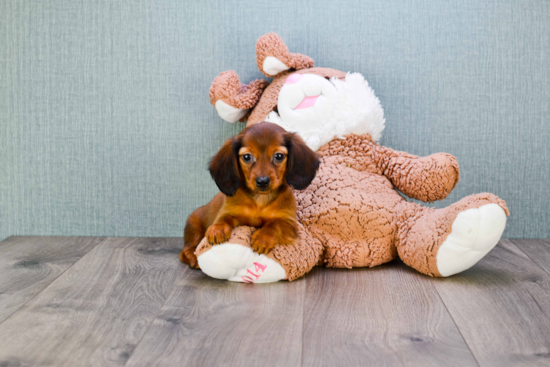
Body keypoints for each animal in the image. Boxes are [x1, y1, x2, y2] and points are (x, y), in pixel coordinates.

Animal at [181, 122, 320, 268]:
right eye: (247, 157)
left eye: (279, 156)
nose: (262, 181)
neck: (260, 199)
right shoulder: (229, 212)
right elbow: (223, 219)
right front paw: (217, 229)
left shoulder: (288, 223)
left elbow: (273, 225)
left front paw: (262, 238)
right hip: (194, 227)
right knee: (185, 251)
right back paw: (194, 259)